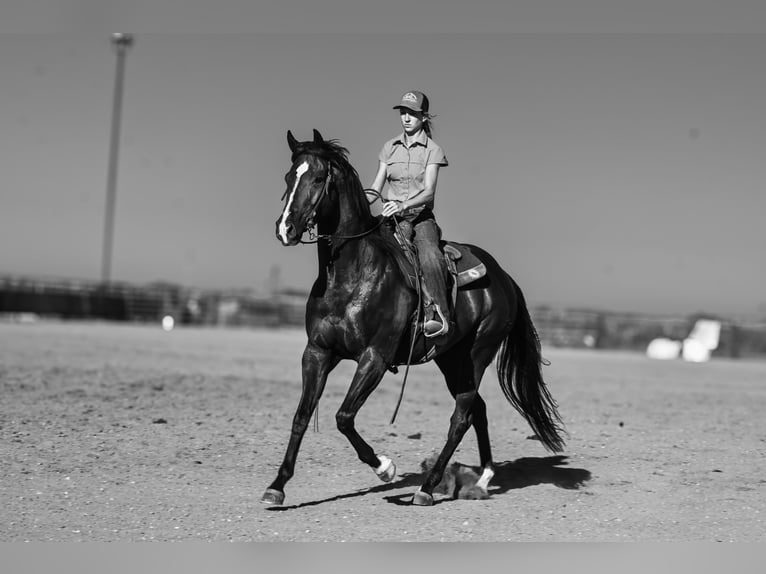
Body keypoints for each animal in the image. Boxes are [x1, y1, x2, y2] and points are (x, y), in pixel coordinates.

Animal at [263, 129, 564, 506]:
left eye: (318, 178)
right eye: (289, 177)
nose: (285, 229)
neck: (350, 275)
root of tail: (504, 278)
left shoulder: (374, 357)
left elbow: (344, 416)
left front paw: (385, 467)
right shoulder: (317, 352)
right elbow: (301, 416)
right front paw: (277, 485)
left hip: (478, 353)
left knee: (461, 416)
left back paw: (427, 488)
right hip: (451, 359)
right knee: (476, 410)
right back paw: (482, 478)